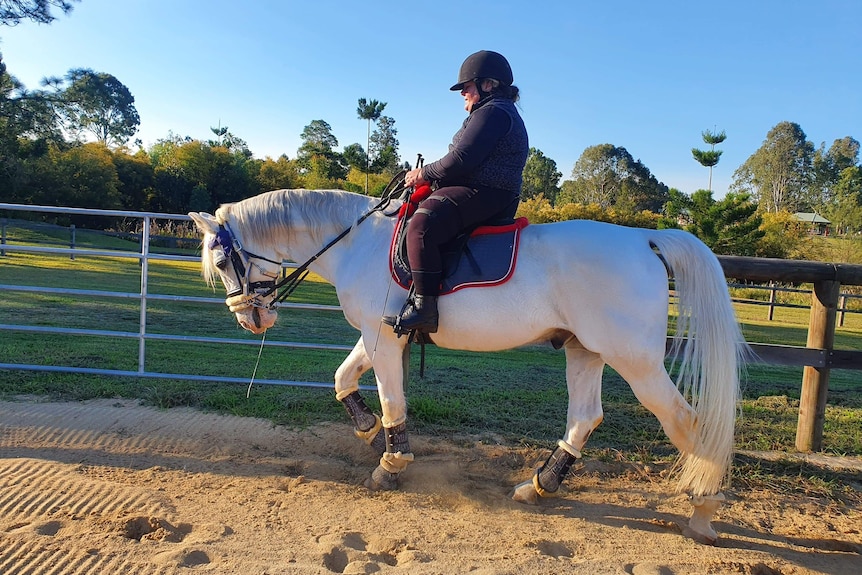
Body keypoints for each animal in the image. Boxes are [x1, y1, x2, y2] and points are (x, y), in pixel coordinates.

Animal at [191, 190, 748, 544]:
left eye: (220, 263)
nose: (250, 319)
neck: (354, 241)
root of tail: (641, 240)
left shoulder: (383, 337)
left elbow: (393, 399)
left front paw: (391, 463)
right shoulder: (378, 333)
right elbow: (343, 379)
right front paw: (369, 430)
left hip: (636, 362)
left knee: (687, 421)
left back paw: (703, 509)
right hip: (584, 350)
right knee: (585, 418)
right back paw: (539, 486)